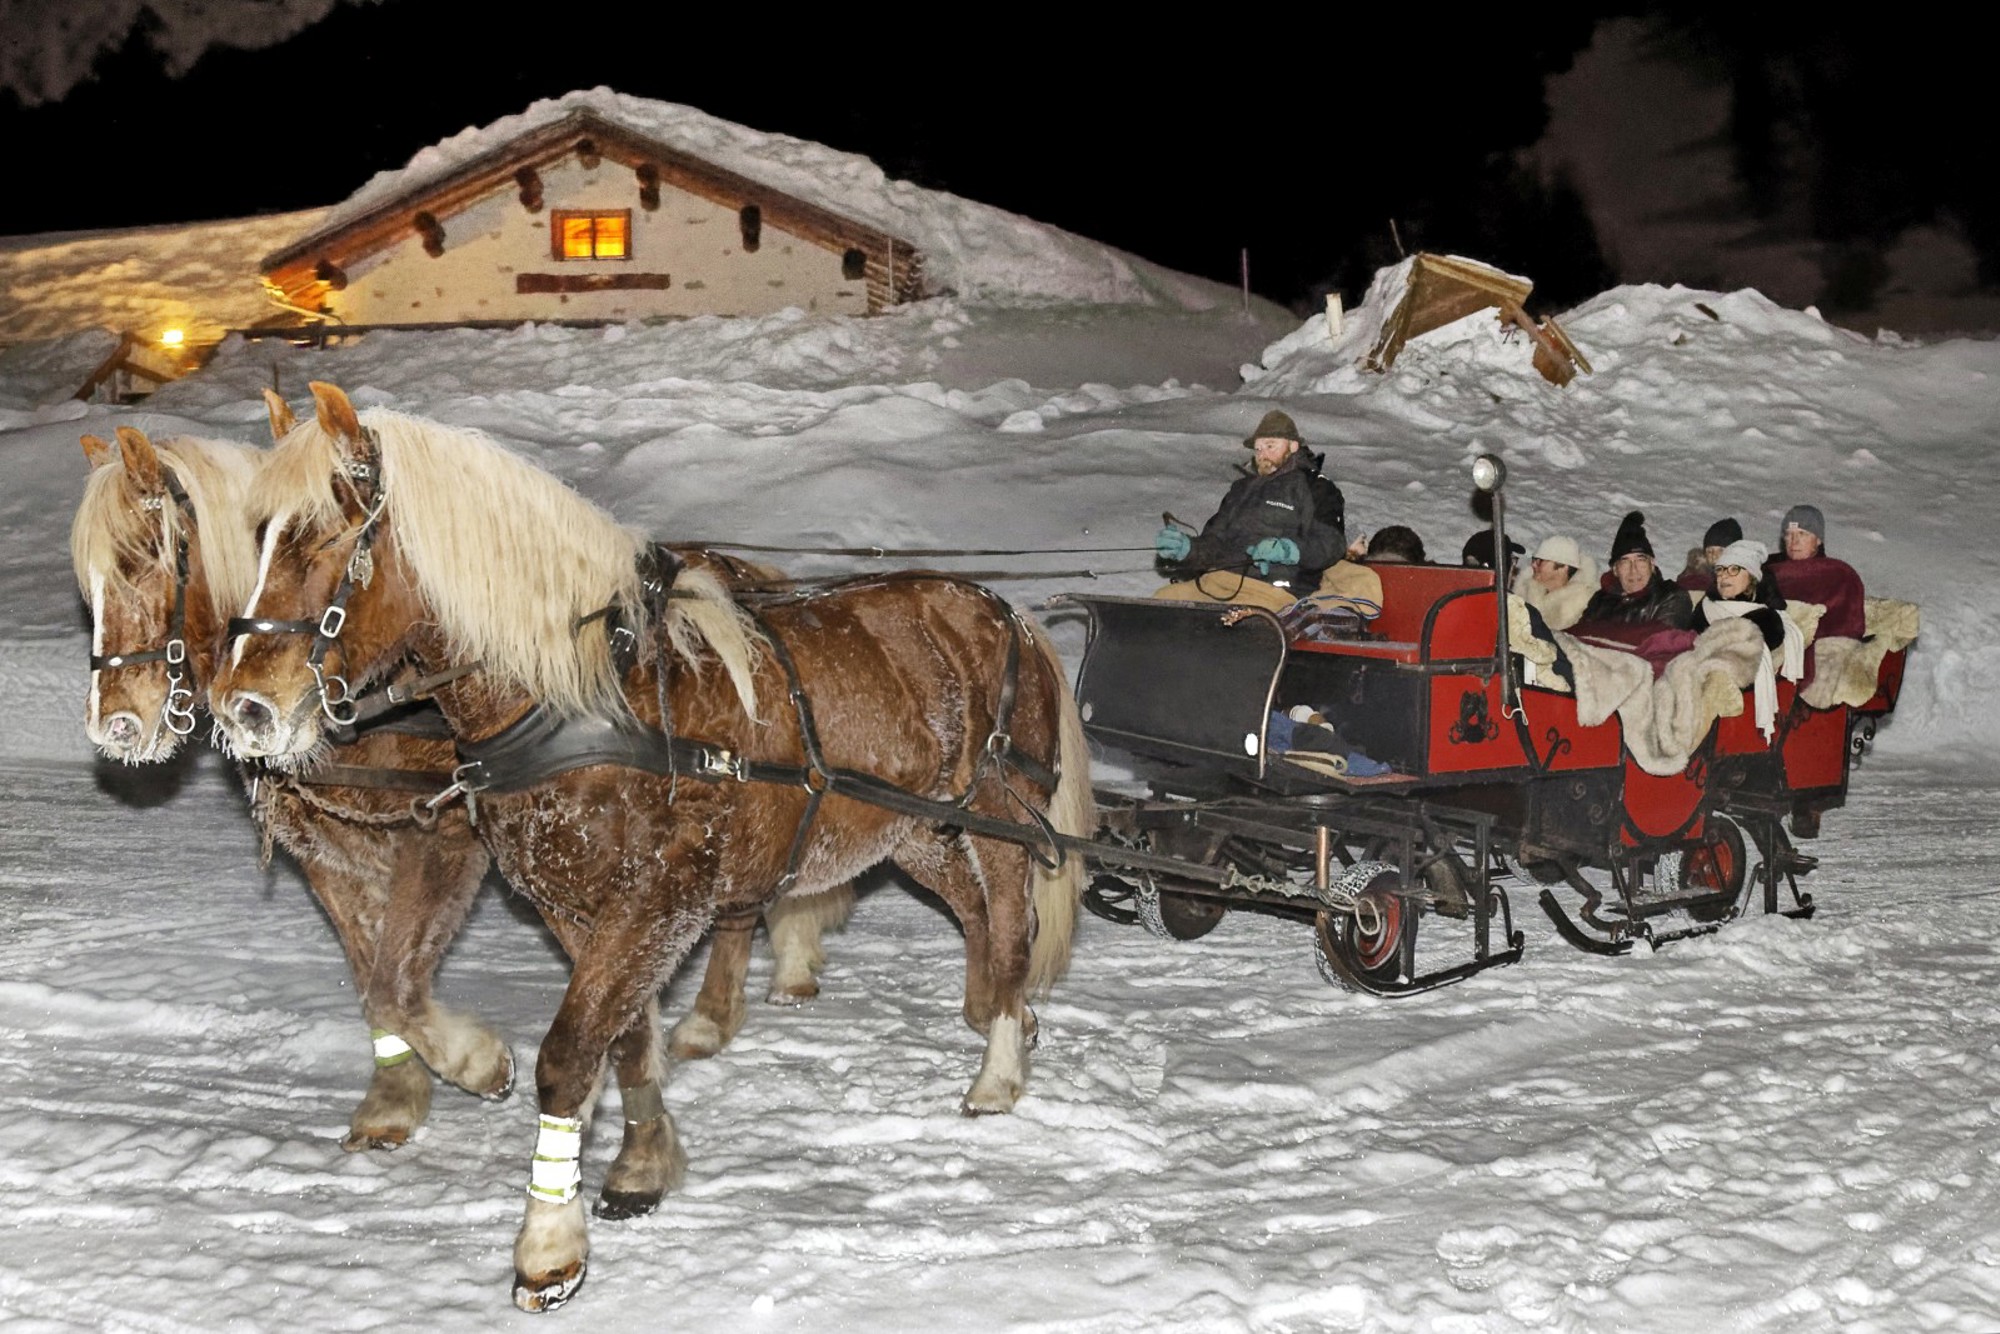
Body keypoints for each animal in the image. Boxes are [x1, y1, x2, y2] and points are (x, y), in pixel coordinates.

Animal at [207, 382, 1095, 1312]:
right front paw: (642, 1158)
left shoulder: (653, 902)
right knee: (974, 913)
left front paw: (549, 1243)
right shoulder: (578, 907)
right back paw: (999, 1011)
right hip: (913, 828)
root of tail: (1005, 610)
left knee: (1012, 926)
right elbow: (622, 1037)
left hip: (999, 819)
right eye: (258, 538)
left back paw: (998, 1067)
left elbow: (567, 1055)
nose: (243, 709)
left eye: (326, 536)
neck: (584, 701)